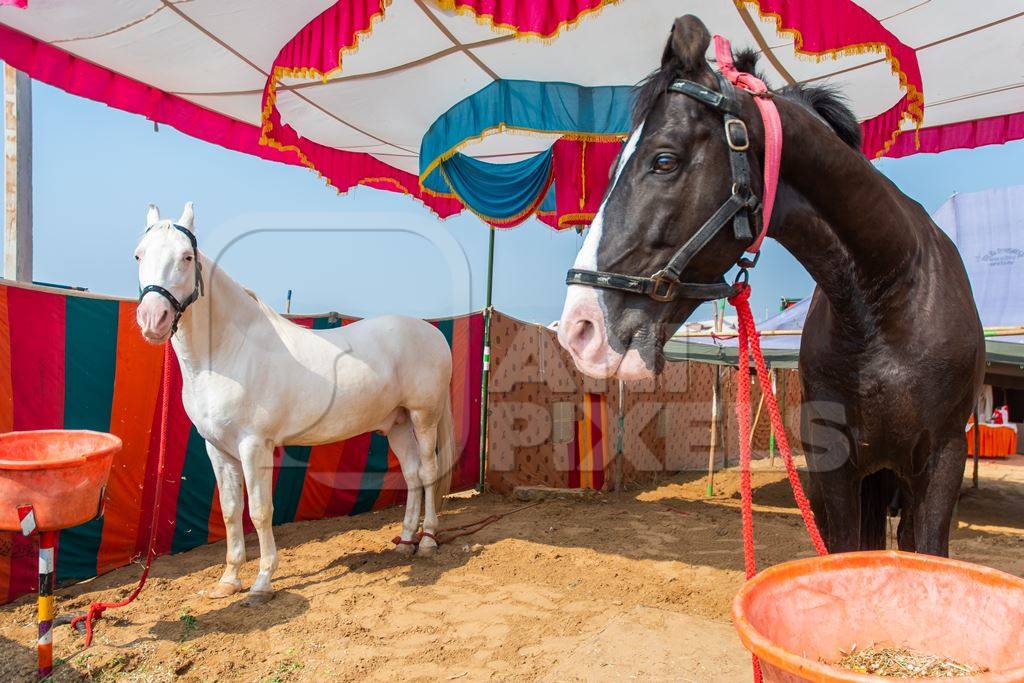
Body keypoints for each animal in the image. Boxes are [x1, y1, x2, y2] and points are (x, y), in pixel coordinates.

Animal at [134, 201, 454, 602]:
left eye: (186, 257)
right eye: (139, 254)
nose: (153, 319)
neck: (230, 352)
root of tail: (433, 333)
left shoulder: (254, 446)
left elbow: (259, 511)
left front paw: (262, 582)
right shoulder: (218, 449)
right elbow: (229, 511)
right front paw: (228, 581)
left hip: (424, 416)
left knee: (428, 472)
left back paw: (426, 542)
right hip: (396, 423)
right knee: (411, 475)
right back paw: (406, 542)